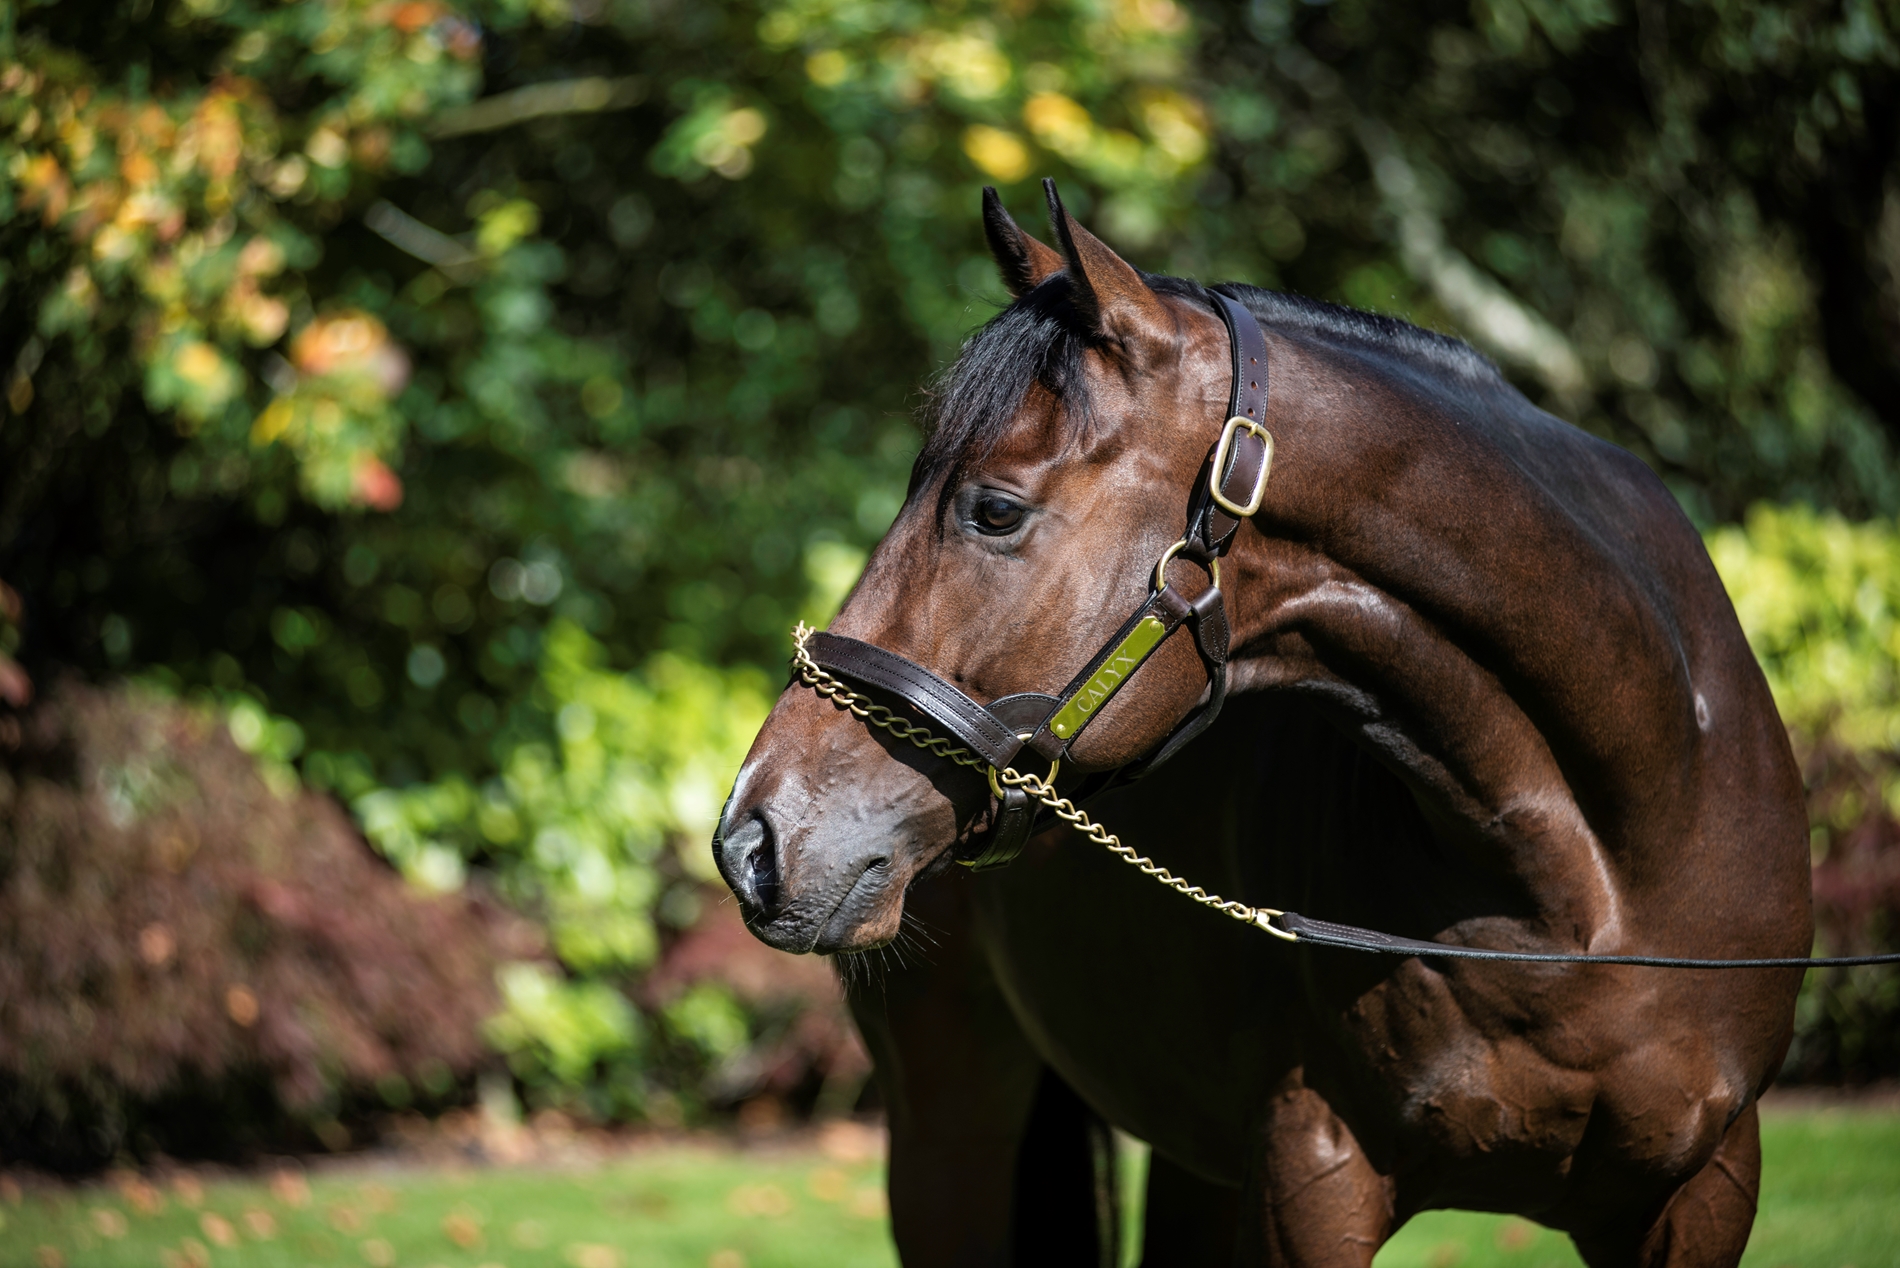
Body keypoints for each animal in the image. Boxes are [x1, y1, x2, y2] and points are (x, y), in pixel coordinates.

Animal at [713, 181, 1811, 1267]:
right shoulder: (1310, 1177)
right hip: (950, 1124)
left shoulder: (1705, 1188)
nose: (752, 839)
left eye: (994, 510)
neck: (1594, 880)